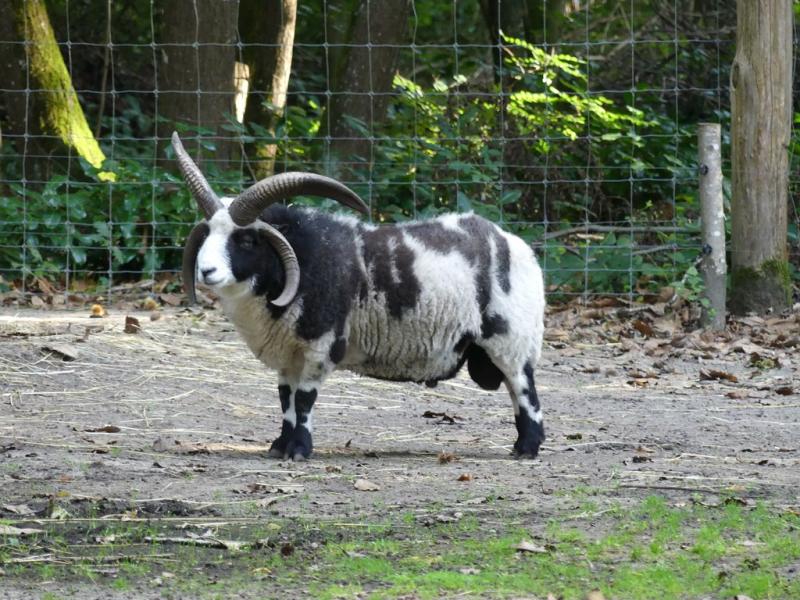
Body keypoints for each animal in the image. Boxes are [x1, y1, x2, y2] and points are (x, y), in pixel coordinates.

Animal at [172, 132, 546, 461]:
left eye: (247, 240)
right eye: (208, 234)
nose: (206, 271)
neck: (304, 257)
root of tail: (516, 245)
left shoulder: (320, 344)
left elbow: (304, 399)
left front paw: (299, 450)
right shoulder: (288, 352)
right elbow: (285, 399)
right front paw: (280, 446)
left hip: (509, 338)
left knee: (523, 388)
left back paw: (527, 448)